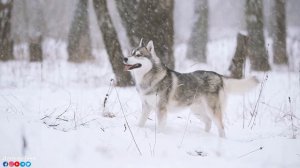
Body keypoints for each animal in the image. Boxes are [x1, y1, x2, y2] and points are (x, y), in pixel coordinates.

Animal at [123, 38, 258, 137]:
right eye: (131, 53)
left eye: (138, 55)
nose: (124, 58)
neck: (148, 77)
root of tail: (219, 76)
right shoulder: (146, 106)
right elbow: (140, 122)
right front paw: (138, 130)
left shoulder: (161, 109)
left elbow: (161, 127)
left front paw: (160, 136)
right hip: (197, 111)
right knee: (208, 122)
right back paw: (204, 136)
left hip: (212, 110)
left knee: (221, 127)